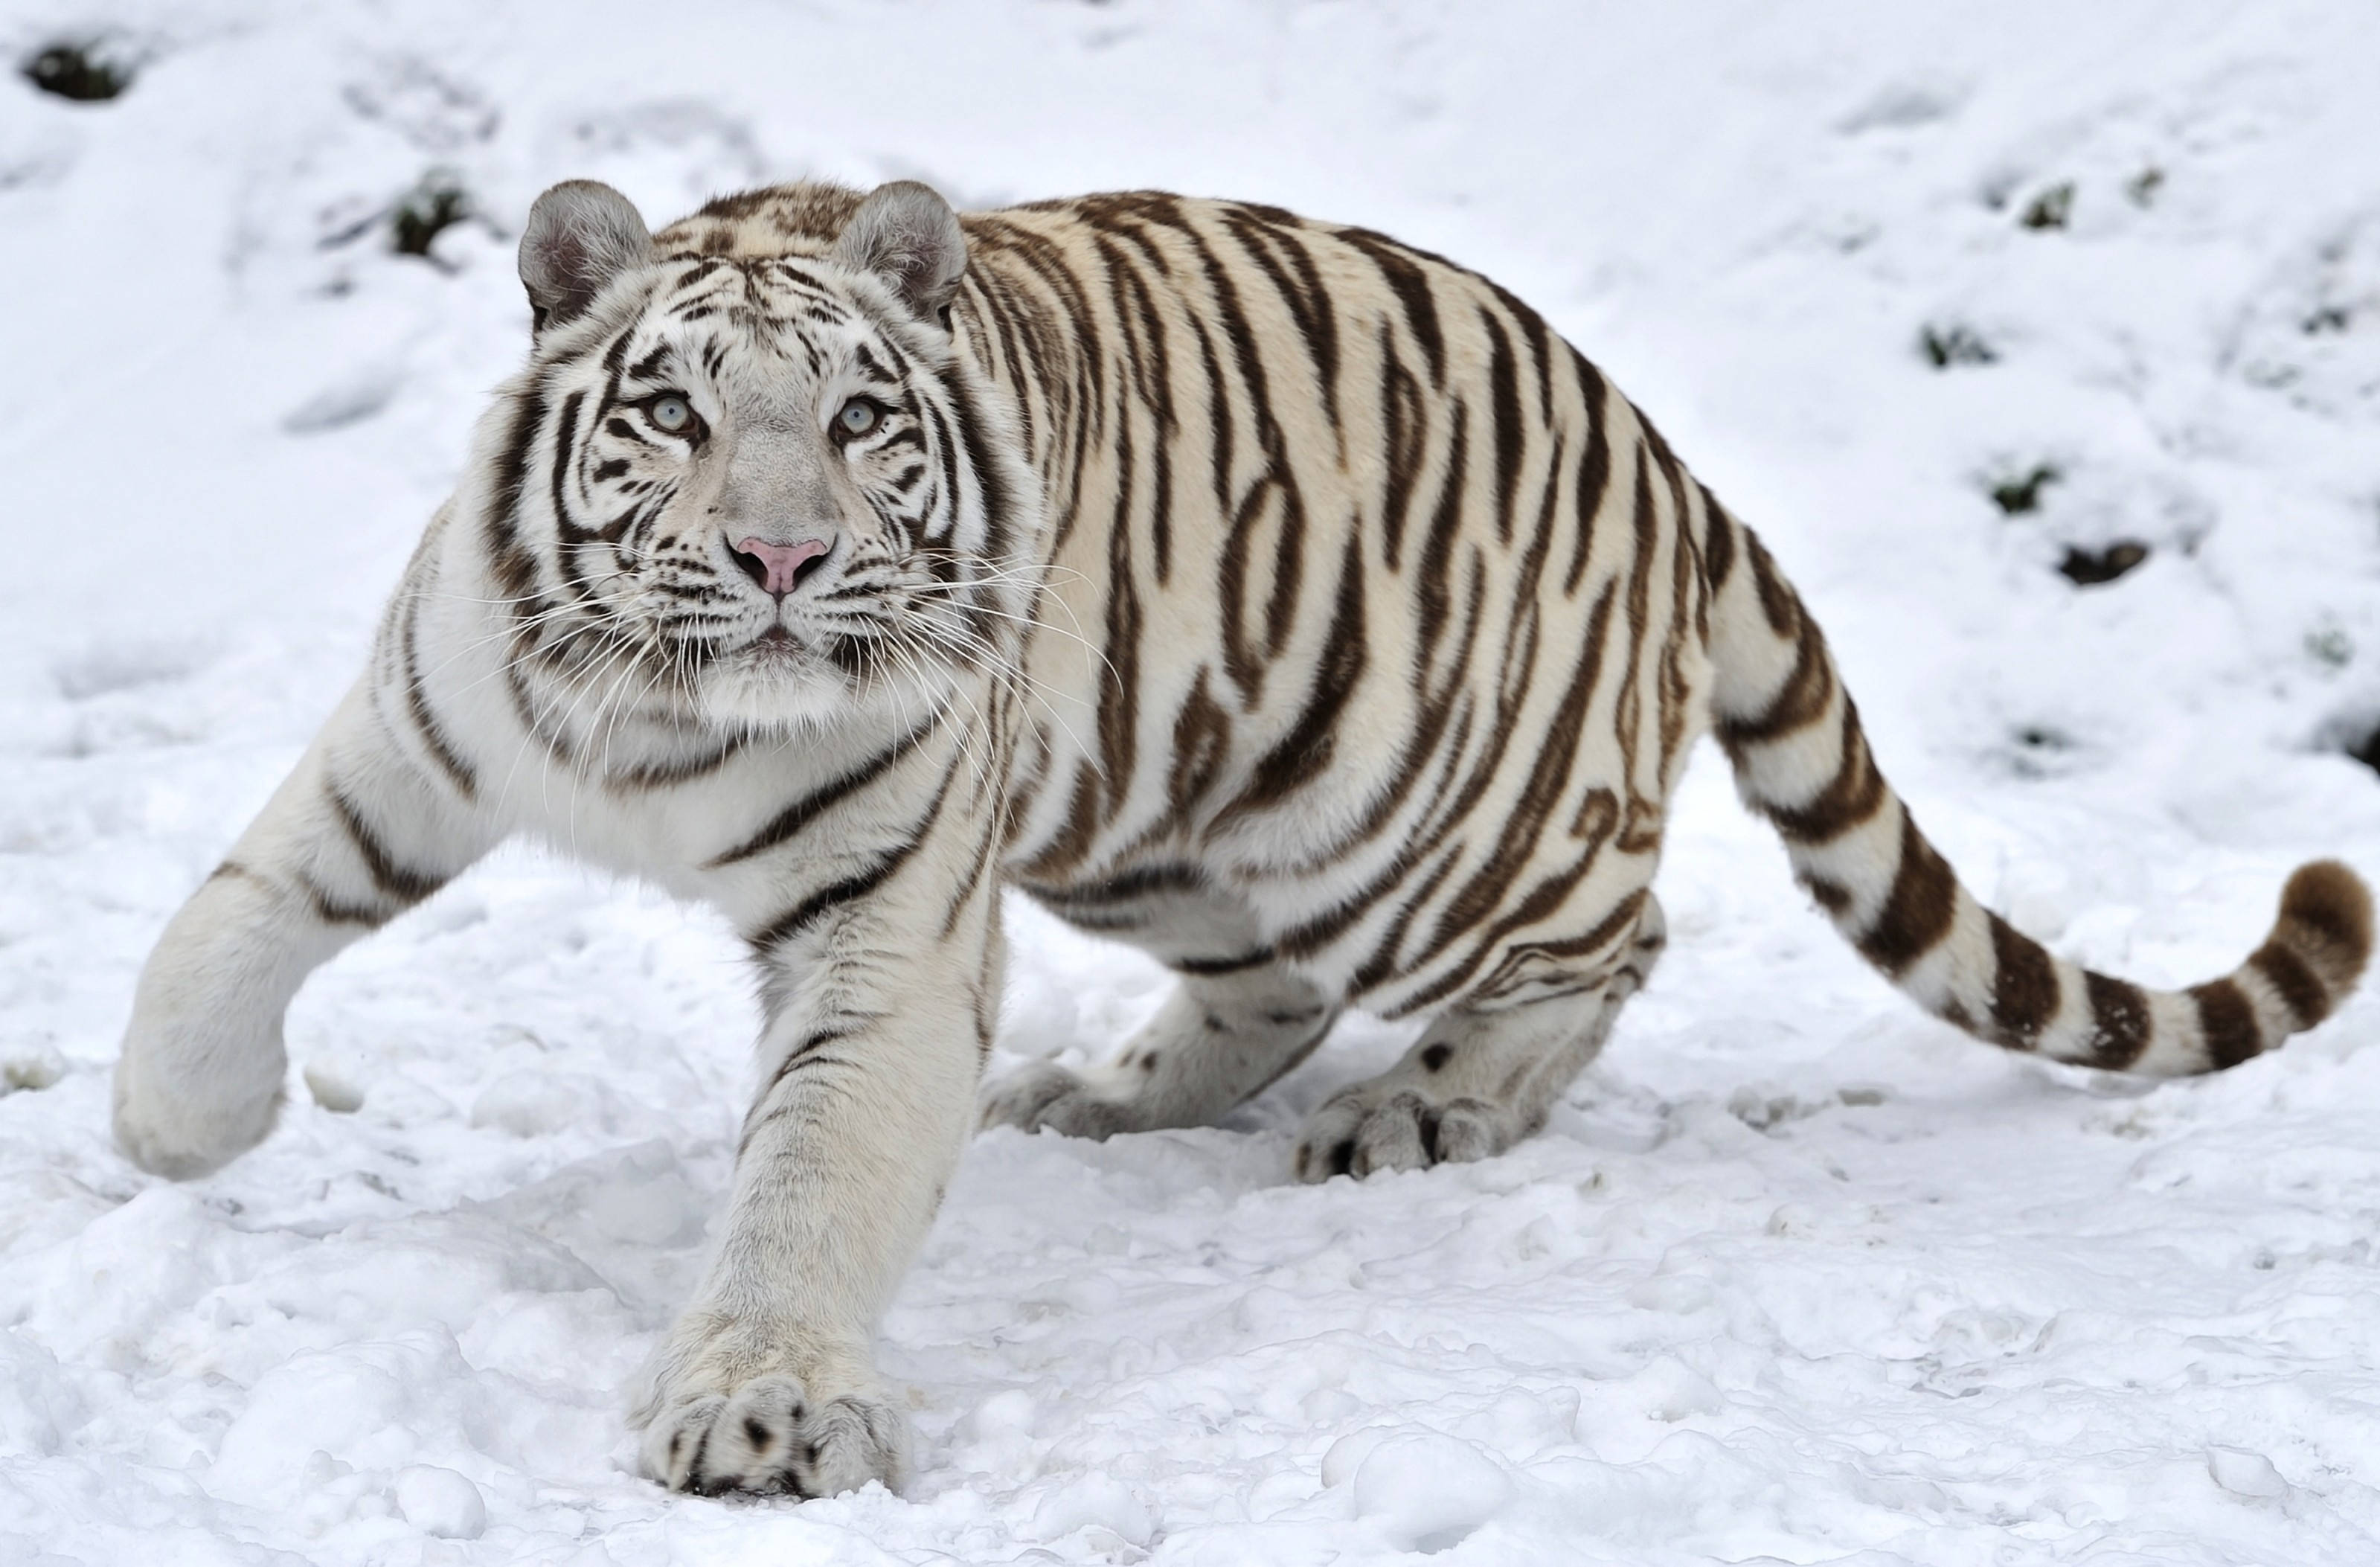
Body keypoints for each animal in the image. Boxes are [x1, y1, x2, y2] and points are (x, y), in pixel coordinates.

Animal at [111, 176, 2373, 1500]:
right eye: (669, 413)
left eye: (856, 421)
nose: (778, 557)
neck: (665, 716)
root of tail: (1667, 456)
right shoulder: (420, 729)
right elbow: (228, 913)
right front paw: (176, 1129)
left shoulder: (885, 935)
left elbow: (802, 1187)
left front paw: (762, 1409)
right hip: (1160, 807)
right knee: (1268, 982)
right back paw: (1103, 1097)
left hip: (1426, 814)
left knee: (1609, 938)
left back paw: (1420, 1110)